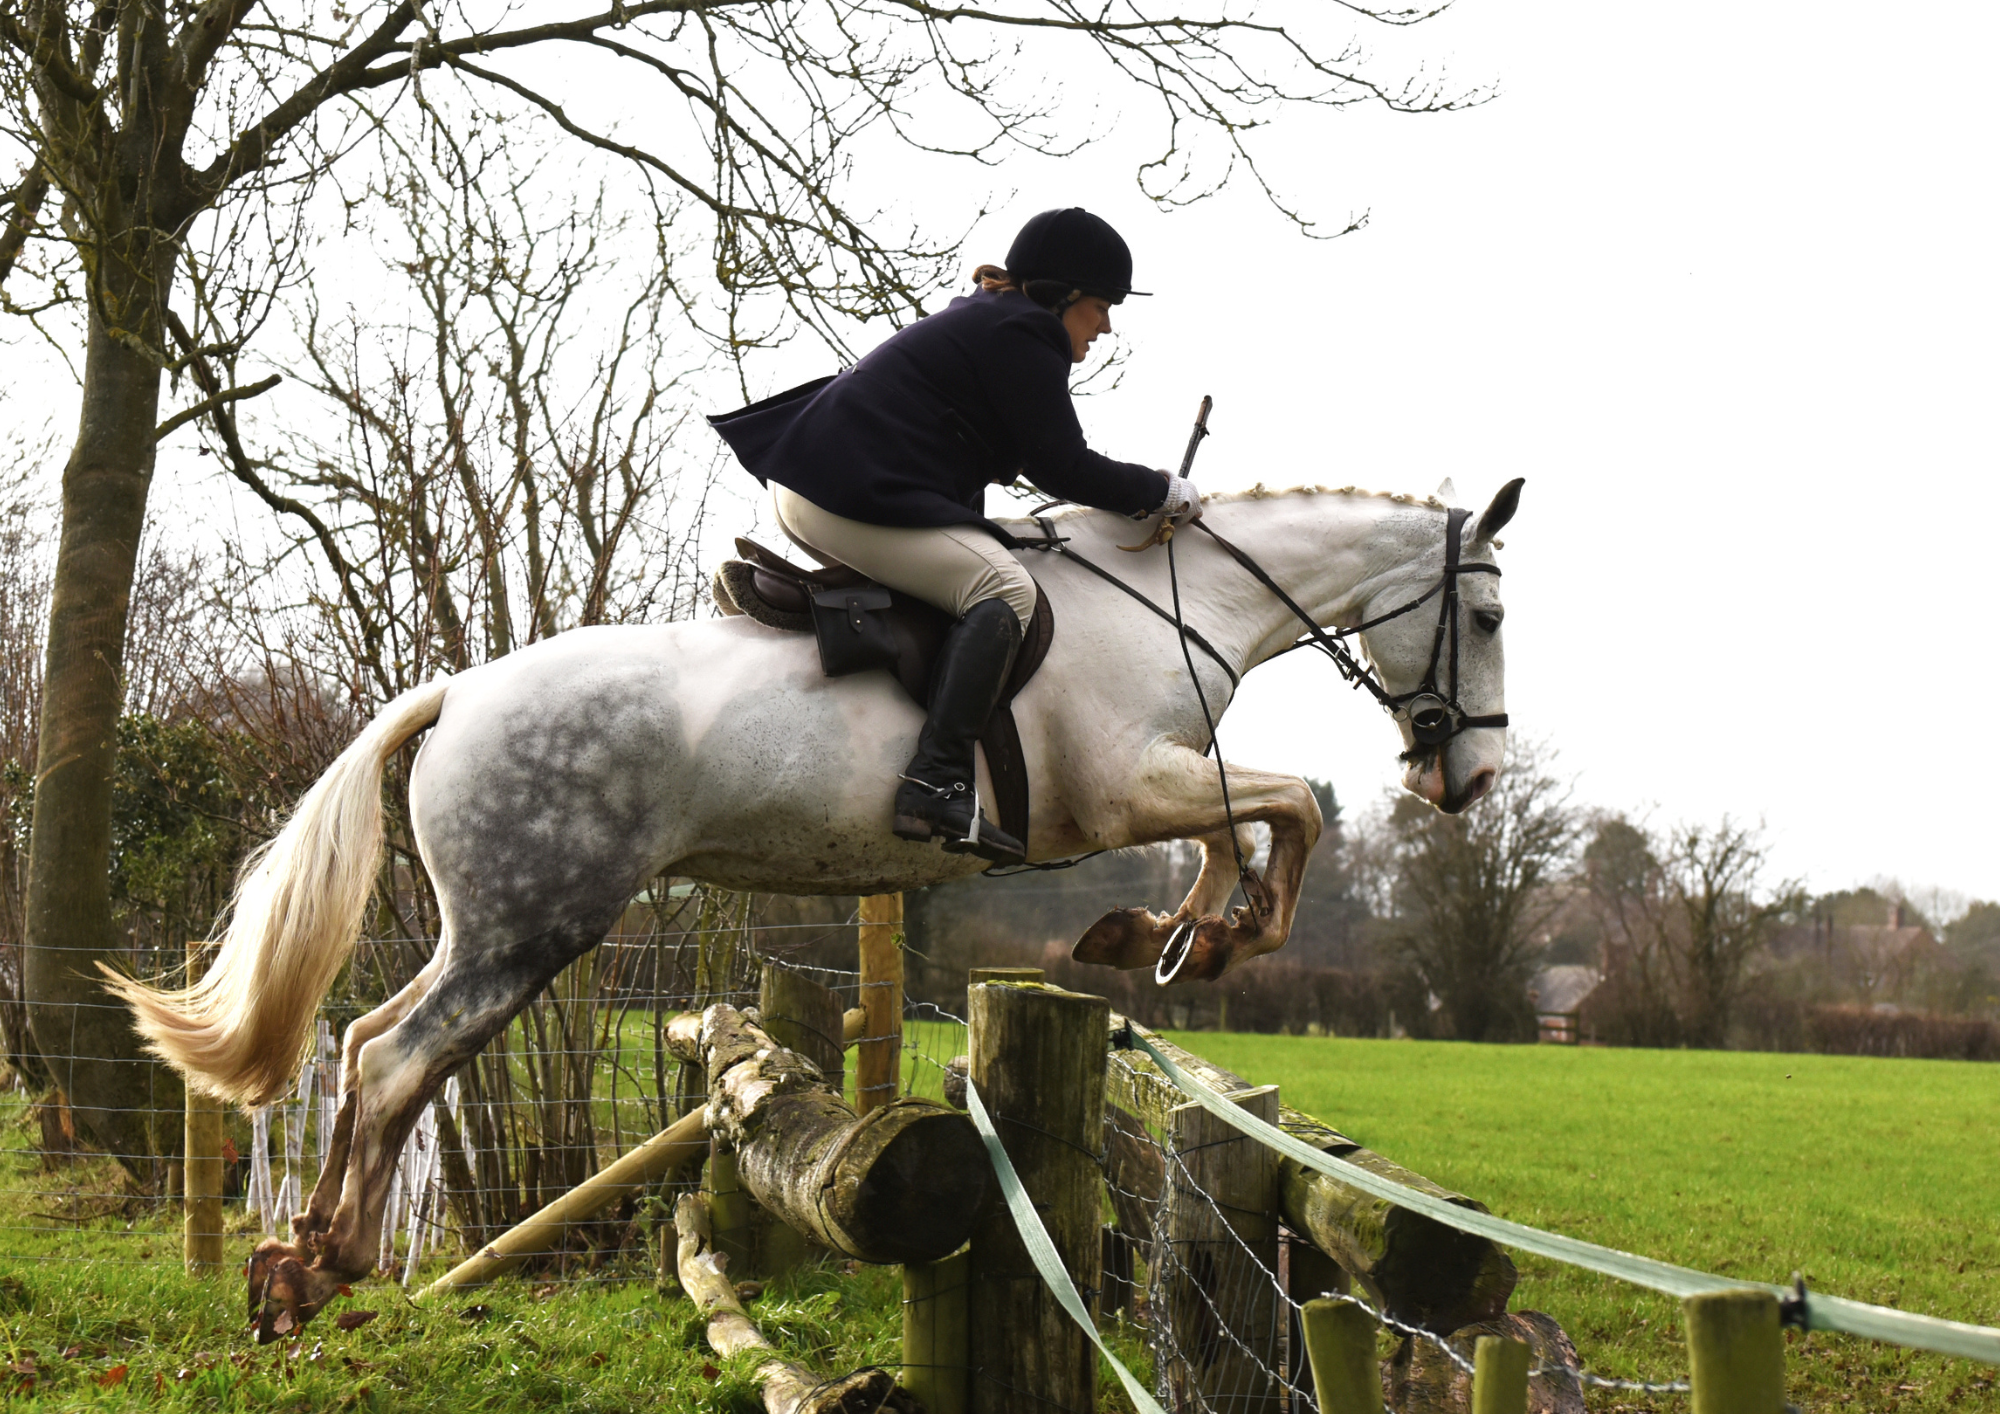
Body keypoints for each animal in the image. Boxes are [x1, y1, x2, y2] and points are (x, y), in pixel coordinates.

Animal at [104, 477, 1520, 1336]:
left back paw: (298, 1258)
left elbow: (1249, 819)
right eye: (1491, 611)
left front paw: (1175, 934)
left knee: (359, 1042)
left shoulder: (1149, 791)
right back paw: (324, 1260)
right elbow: (1287, 808)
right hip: (530, 926)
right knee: (401, 1056)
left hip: (485, 927)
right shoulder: (1122, 790)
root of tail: (458, 691)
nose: (1465, 780)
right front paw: (1216, 931)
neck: (1167, 602)